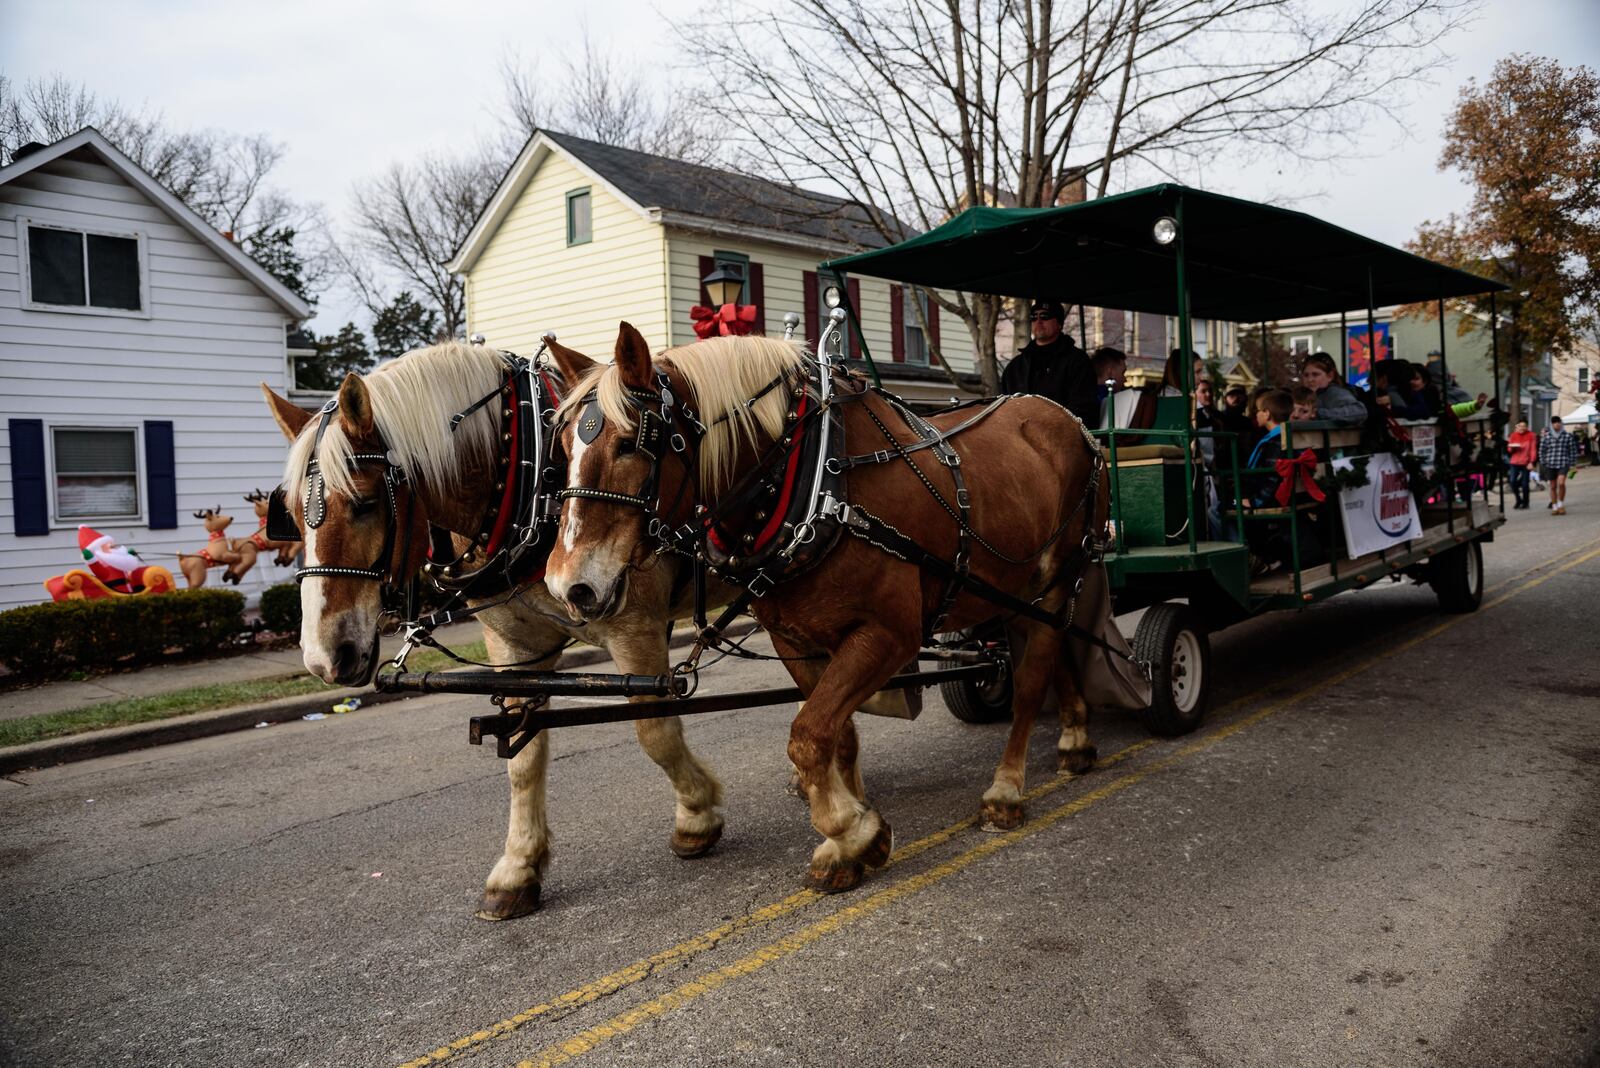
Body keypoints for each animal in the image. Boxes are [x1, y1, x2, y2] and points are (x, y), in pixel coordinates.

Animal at [262, 340, 726, 920]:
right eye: (290, 517)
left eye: (366, 504)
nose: (325, 658)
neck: (531, 476)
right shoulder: (514, 644)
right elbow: (522, 757)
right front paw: (518, 868)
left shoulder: (634, 627)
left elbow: (656, 732)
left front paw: (697, 818)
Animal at [544, 326, 1107, 895]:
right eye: (563, 448)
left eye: (630, 443)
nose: (569, 585)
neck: (816, 480)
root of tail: (1070, 421)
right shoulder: (796, 640)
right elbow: (836, 736)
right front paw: (851, 830)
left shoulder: (888, 635)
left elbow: (808, 737)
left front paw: (852, 833)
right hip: (1015, 591)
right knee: (1054, 650)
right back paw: (1077, 737)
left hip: (1058, 577)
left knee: (1032, 679)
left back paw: (1006, 790)